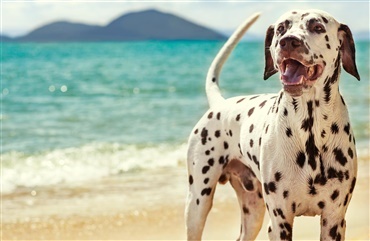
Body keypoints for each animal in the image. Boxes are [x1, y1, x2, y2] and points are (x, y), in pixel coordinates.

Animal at [186, 8, 360, 239]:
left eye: (317, 27)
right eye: (281, 28)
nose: (289, 42)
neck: (309, 131)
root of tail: (220, 104)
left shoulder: (334, 221)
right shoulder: (279, 222)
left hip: (252, 213)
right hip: (198, 203)